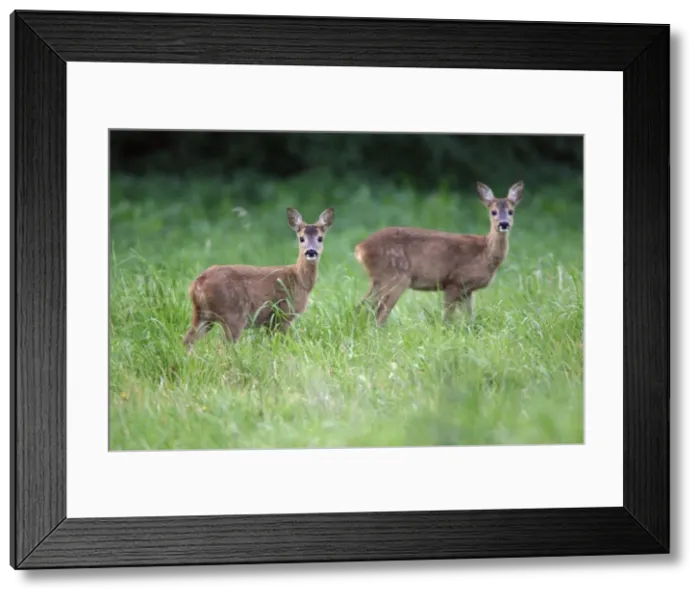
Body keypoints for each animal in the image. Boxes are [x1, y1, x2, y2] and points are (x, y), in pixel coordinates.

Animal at [183, 207, 334, 351]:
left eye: (320, 238)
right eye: (301, 238)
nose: (311, 252)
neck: (299, 280)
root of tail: (197, 283)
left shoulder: (270, 321)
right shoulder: (283, 314)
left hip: (202, 315)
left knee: (187, 340)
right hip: (232, 314)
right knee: (222, 346)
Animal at [354, 180, 525, 326]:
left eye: (511, 211)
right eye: (493, 212)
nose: (504, 224)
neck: (484, 252)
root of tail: (360, 248)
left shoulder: (468, 290)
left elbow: (470, 317)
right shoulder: (454, 281)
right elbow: (447, 317)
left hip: (378, 279)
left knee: (362, 306)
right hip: (396, 277)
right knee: (380, 312)